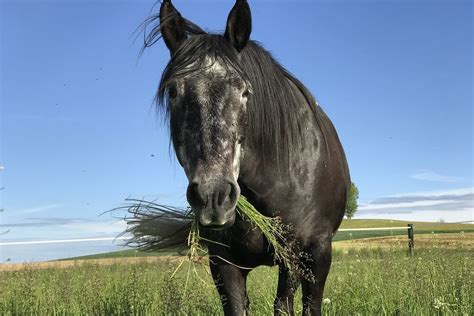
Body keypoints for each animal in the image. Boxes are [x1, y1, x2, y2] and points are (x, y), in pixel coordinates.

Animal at [143, 1, 348, 314]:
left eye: (244, 91)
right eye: (174, 92)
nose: (213, 196)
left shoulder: (292, 254)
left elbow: (283, 306)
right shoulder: (224, 263)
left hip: (318, 256)